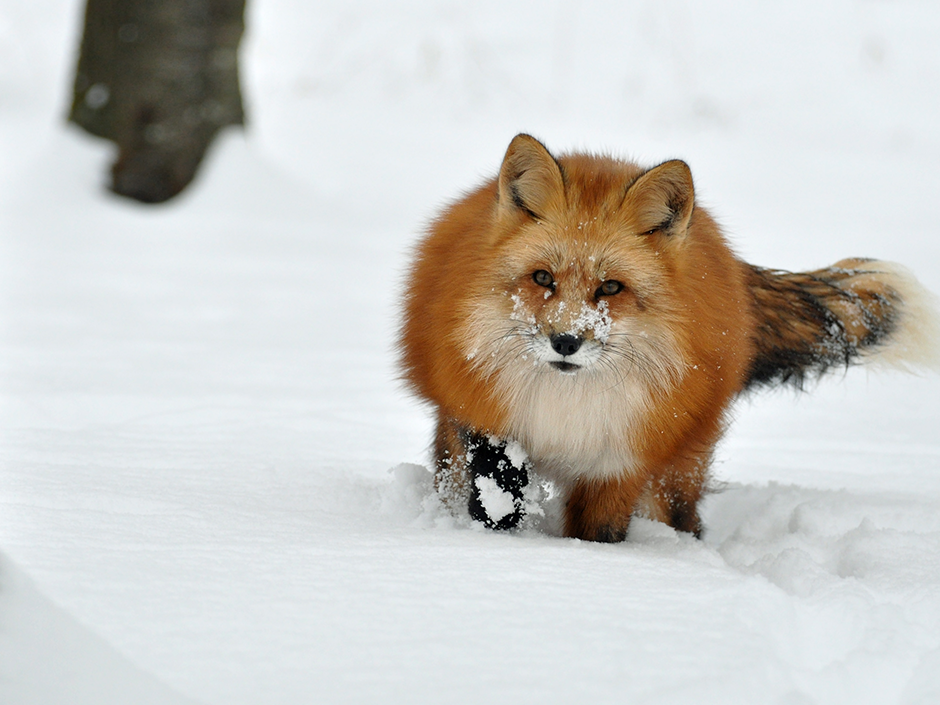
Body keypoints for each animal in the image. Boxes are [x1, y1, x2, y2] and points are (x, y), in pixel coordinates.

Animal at [398, 133, 940, 540]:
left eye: (610, 287)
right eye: (542, 278)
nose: (566, 341)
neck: (566, 408)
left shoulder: (620, 460)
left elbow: (598, 533)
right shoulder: (489, 426)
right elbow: (497, 507)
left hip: (678, 470)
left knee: (685, 519)